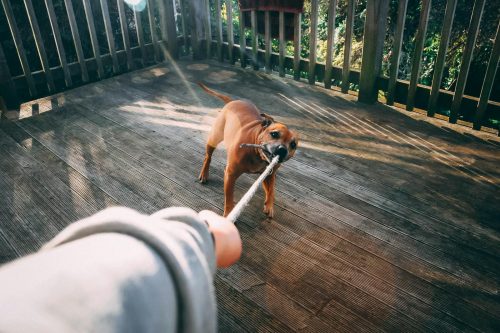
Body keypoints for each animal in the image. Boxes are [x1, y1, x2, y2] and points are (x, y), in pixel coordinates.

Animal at [198, 84, 296, 217]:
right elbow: (229, 198)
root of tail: (233, 101)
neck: (258, 155)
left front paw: (269, 205)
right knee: (208, 157)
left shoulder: (269, 175)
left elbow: (271, 190)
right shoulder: (231, 174)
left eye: (293, 144)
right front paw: (228, 214)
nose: (282, 150)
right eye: (274, 134)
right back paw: (204, 174)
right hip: (214, 137)